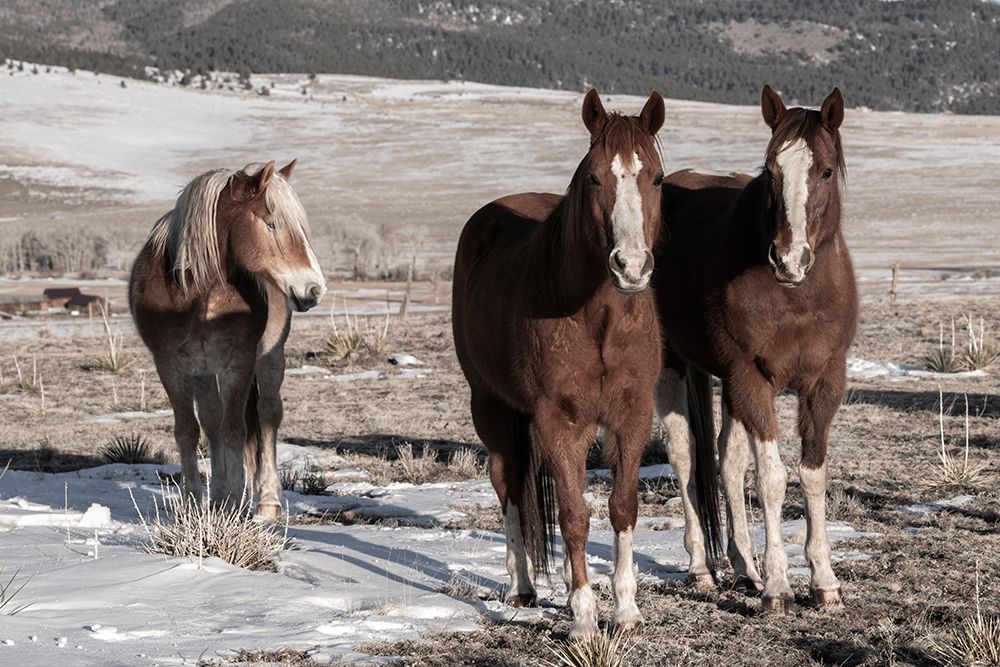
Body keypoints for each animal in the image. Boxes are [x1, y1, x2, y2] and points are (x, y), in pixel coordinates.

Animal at [127, 160, 326, 516]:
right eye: (271, 223)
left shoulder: (239, 363)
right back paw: (218, 496)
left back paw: (266, 501)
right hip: (204, 370)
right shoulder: (171, 366)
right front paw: (194, 502)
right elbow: (189, 430)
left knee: (267, 415)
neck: (196, 295)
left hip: (270, 356)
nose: (314, 289)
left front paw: (235, 500)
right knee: (211, 420)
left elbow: (235, 429)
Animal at [454, 88, 664, 636]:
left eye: (656, 177)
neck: (598, 318)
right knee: (508, 486)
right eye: (594, 177)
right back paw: (522, 587)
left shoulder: (632, 414)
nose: (631, 267)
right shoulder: (556, 420)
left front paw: (626, 610)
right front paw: (584, 617)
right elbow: (572, 514)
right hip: (491, 407)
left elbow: (622, 506)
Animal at [656, 87, 860, 616]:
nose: (788, 259)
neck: (796, 299)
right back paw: (702, 570)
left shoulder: (824, 383)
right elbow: (771, 478)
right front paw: (779, 588)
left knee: (727, 463)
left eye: (824, 171)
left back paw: (744, 567)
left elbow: (811, 474)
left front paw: (824, 581)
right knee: (686, 458)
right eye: (770, 171)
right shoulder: (752, 377)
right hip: (676, 367)